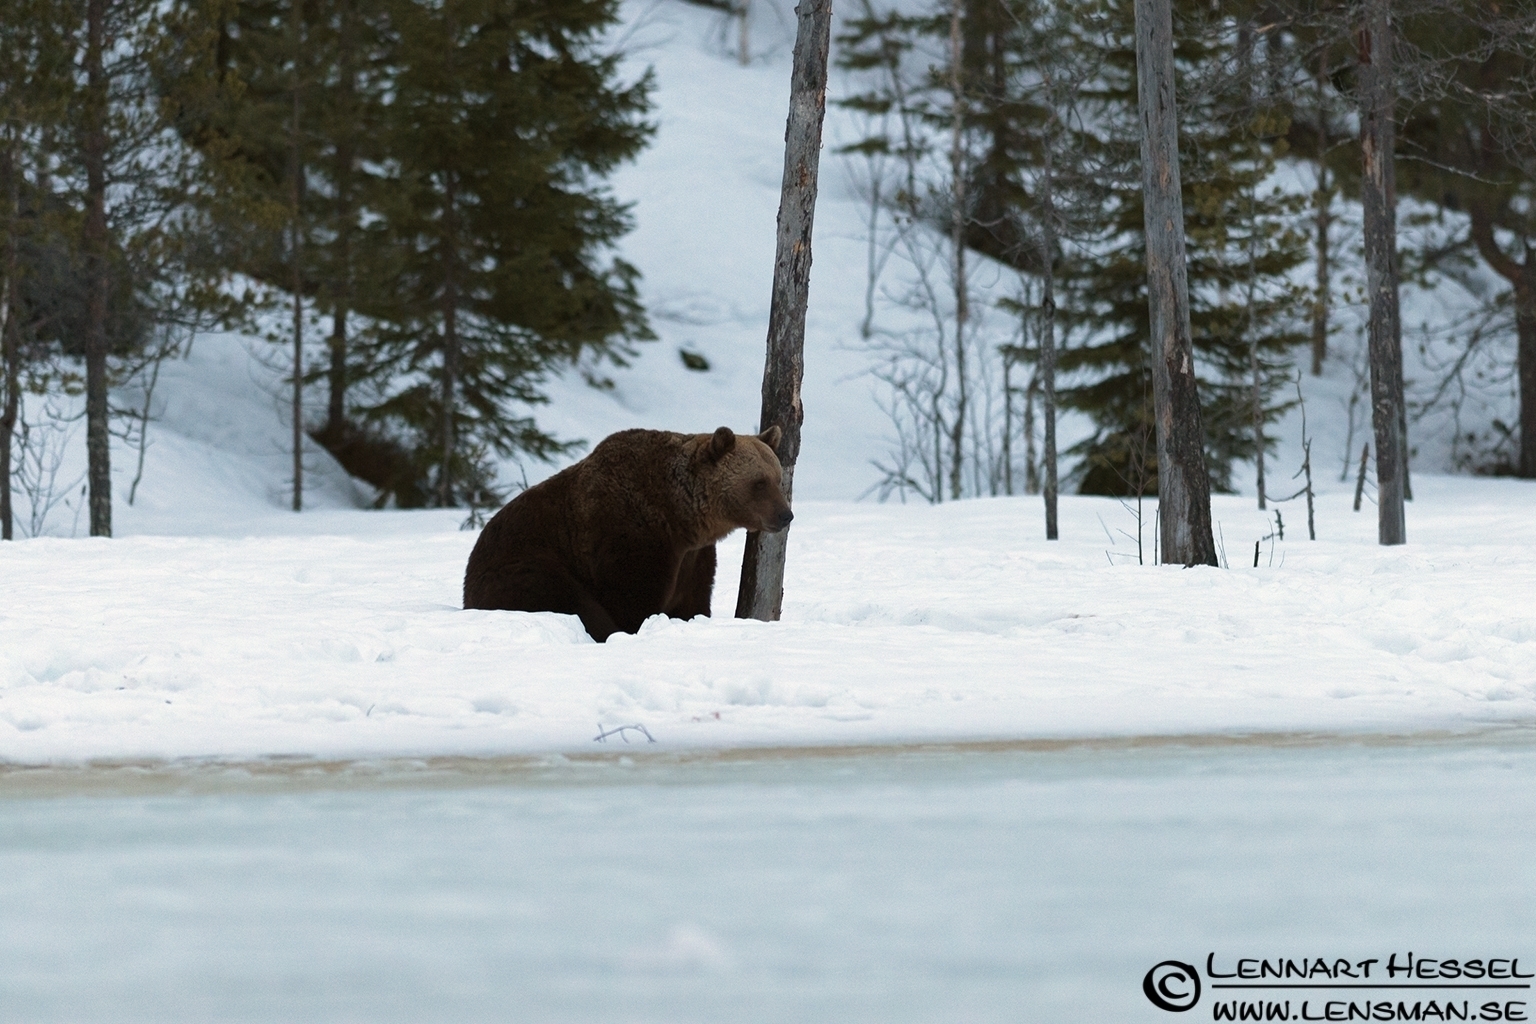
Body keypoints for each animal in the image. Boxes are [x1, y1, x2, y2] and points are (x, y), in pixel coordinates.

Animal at [463, 425, 792, 642]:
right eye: (759, 483)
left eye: (778, 478)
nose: (785, 515)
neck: (679, 516)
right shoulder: (630, 537)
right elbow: (631, 600)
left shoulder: (695, 557)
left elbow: (693, 601)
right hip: (519, 566)